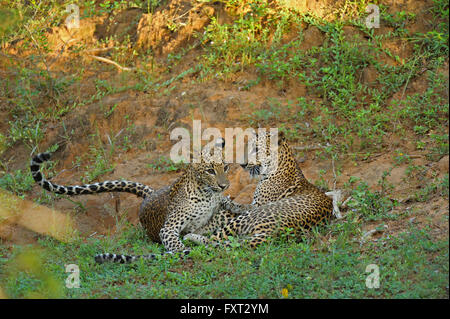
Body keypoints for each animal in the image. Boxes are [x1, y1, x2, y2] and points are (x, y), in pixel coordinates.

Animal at [29, 139, 248, 264]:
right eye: (210, 170)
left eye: (226, 167)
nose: (224, 185)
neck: (207, 194)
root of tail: (150, 194)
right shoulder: (168, 228)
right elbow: (176, 242)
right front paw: (183, 250)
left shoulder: (219, 201)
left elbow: (229, 203)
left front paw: (242, 205)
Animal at [183, 131, 334, 250]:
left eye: (255, 149)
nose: (242, 164)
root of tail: (272, 233)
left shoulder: (256, 205)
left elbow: (233, 208)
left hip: (247, 217)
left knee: (213, 241)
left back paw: (190, 236)